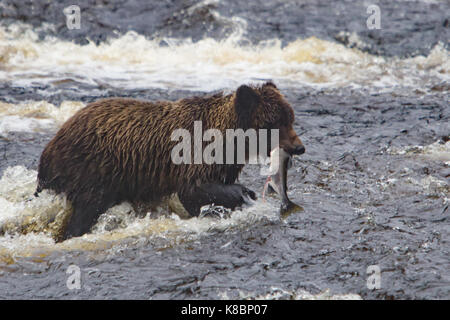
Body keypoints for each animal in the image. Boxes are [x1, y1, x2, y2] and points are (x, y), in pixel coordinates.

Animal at [33, 82, 304, 240]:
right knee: (86, 209)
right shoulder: (197, 154)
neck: (231, 141)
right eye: (275, 122)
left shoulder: (224, 164)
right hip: (92, 169)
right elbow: (193, 189)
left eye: (290, 117)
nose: (299, 147)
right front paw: (244, 193)